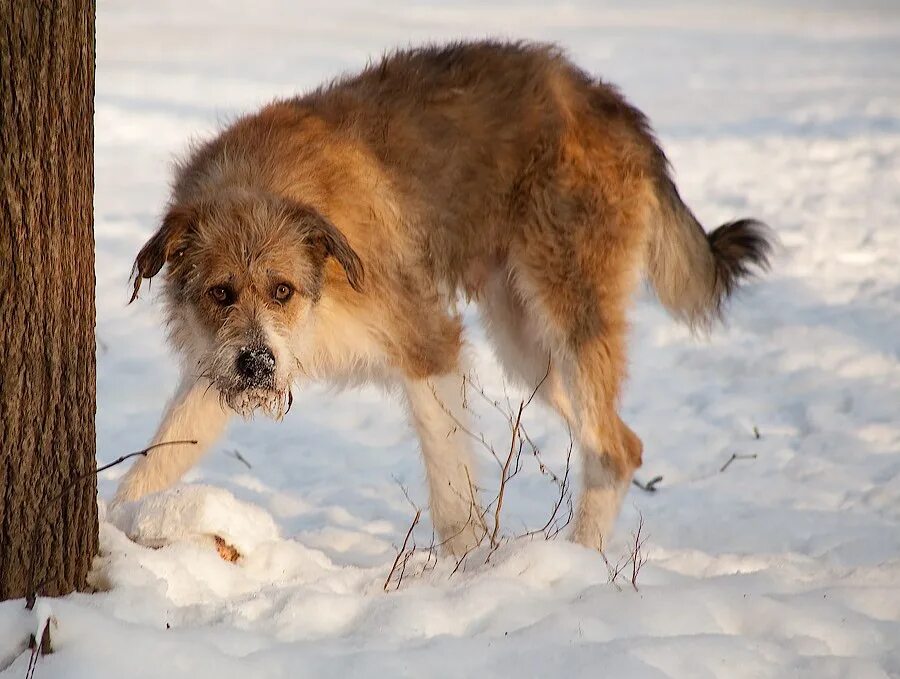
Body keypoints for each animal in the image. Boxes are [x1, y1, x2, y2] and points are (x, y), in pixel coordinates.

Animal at [116, 39, 768, 556]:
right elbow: (153, 465)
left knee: (613, 448)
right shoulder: (218, 369)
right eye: (219, 292)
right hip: (528, 347)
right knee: (620, 443)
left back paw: (579, 561)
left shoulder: (428, 345)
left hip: (569, 316)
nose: (256, 364)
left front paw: (468, 575)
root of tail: (606, 101)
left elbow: (453, 498)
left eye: (283, 290)